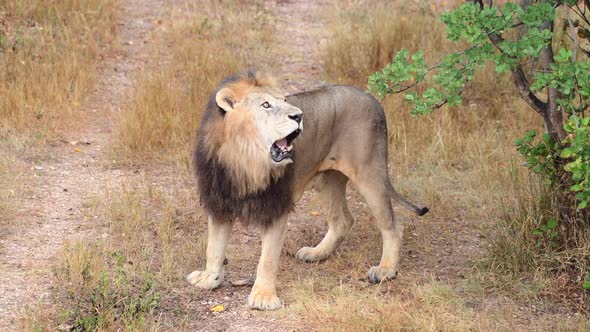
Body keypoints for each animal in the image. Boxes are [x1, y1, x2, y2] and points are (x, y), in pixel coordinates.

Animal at [190, 71, 430, 310]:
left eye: (285, 100)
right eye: (266, 104)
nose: (298, 116)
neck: (245, 160)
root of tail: (372, 98)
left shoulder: (276, 208)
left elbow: (267, 259)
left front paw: (263, 297)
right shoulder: (219, 203)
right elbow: (214, 247)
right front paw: (209, 278)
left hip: (369, 173)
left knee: (392, 226)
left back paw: (385, 270)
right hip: (328, 181)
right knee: (343, 220)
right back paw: (315, 254)